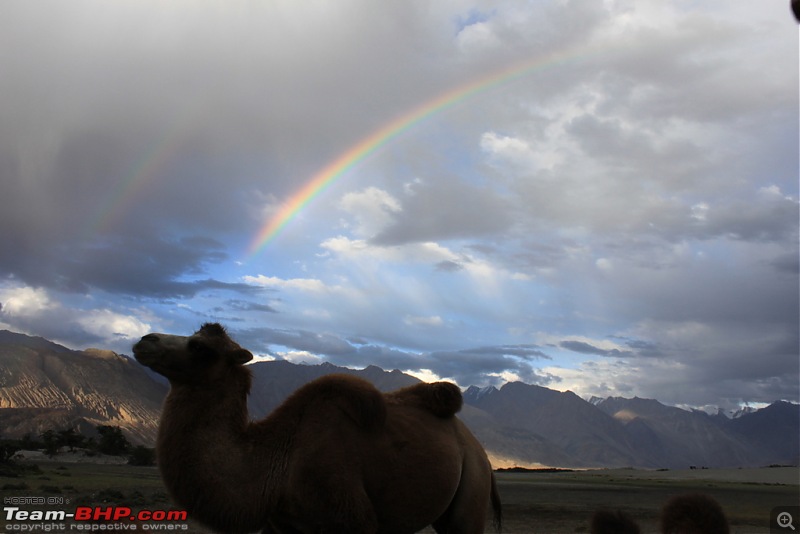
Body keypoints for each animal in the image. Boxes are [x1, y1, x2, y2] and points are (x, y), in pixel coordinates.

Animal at [134, 324, 504, 532]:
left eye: (200, 347)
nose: (144, 341)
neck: (277, 462)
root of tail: (476, 447)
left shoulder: (352, 518)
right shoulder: (282, 526)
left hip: (471, 493)